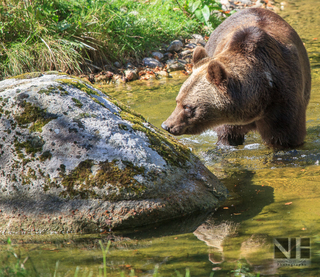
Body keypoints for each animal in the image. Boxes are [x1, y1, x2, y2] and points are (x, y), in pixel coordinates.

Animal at [161, 7, 312, 148]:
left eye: (188, 106)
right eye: (177, 100)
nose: (166, 125)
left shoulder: (284, 100)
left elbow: (285, 136)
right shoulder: (230, 119)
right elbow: (227, 135)